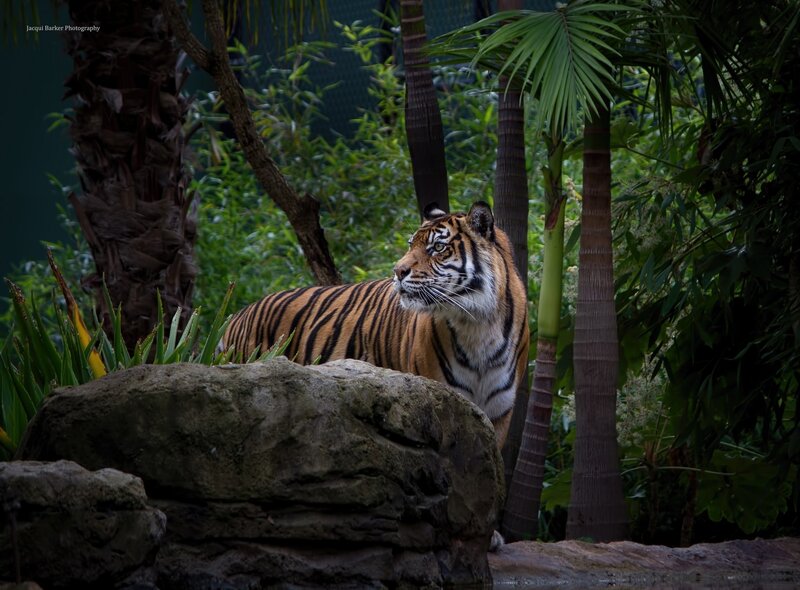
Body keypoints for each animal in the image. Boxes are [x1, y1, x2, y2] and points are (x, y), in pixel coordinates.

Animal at [221, 201, 529, 448]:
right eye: (411, 244)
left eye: (438, 248)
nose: (398, 271)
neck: (478, 324)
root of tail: (235, 315)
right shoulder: (443, 400)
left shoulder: (498, 414)